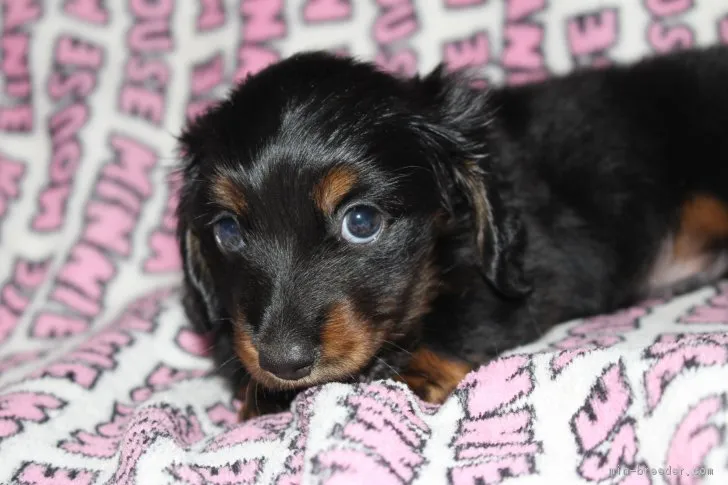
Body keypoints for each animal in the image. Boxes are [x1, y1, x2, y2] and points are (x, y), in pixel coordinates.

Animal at [175, 46, 728, 420]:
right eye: (228, 231)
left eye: (361, 222)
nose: (283, 363)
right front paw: (261, 396)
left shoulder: (532, 272)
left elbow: (470, 311)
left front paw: (407, 372)